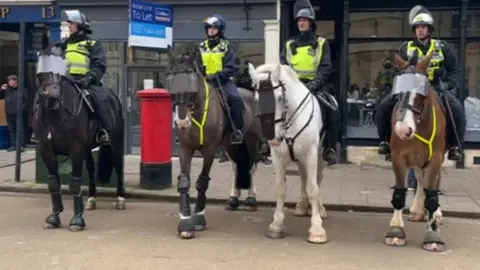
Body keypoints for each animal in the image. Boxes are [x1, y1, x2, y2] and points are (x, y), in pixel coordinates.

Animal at [34, 44, 125, 232]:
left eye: (61, 72)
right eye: (42, 68)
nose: (53, 96)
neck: (55, 115)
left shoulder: (75, 150)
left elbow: (75, 183)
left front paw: (77, 220)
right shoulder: (46, 150)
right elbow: (54, 183)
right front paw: (54, 217)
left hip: (116, 142)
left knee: (118, 166)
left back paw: (120, 199)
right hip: (87, 148)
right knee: (91, 169)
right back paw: (91, 199)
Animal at [165, 45, 262, 239]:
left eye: (192, 82)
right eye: (171, 80)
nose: (181, 122)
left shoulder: (209, 150)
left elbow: (202, 182)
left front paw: (199, 217)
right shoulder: (185, 148)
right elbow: (184, 181)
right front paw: (185, 222)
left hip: (251, 140)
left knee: (252, 166)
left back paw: (251, 200)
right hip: (231, 146)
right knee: (236, 167)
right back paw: (233, 199)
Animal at [248, 63, 330, 245]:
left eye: (279, 97)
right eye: (256, 99)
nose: (272, 137)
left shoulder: (311, 154)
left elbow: (313, 188)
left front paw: (317, 229)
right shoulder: (278, 157)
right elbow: (280, 189)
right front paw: (276, 225)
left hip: (320, 156)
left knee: (317, 179)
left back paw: (320, 208)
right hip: (299, 159)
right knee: (303, 177)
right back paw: (302, 206)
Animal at [384, 51, 448, 252]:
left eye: (422, 94)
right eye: (397, 92)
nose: (403, 130)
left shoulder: (435, 157)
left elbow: (432, 195)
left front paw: (433, 234)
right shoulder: (398, 157)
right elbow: (399, 192)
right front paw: (396, 230)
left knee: (432, 182)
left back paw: (435, 214)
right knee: (420, 180)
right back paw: (418, 210)